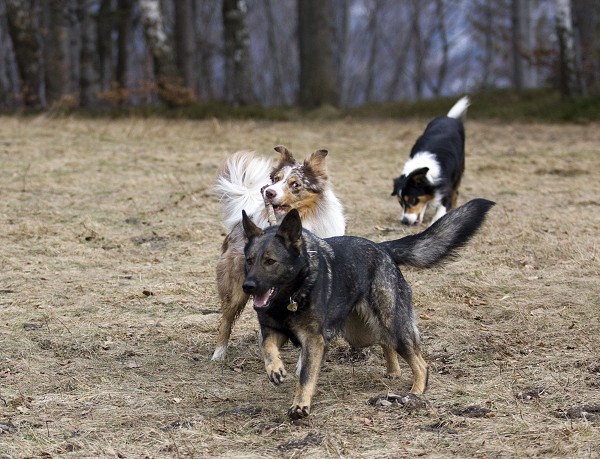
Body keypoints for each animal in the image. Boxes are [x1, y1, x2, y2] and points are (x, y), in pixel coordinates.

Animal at [241, 199, 494, 418]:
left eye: (270, 261)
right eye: (249, 260)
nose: (248, 286)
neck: (290, 296)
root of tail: (382, 248)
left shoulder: (314, 341)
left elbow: (305, 376)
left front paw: (300, 405)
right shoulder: (273, 331)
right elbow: (267, 347)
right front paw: (275, 369)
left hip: (393, 326)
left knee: (420, 363)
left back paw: (416, 392)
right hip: (362, 333)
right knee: (384, 341)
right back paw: (394, 371)